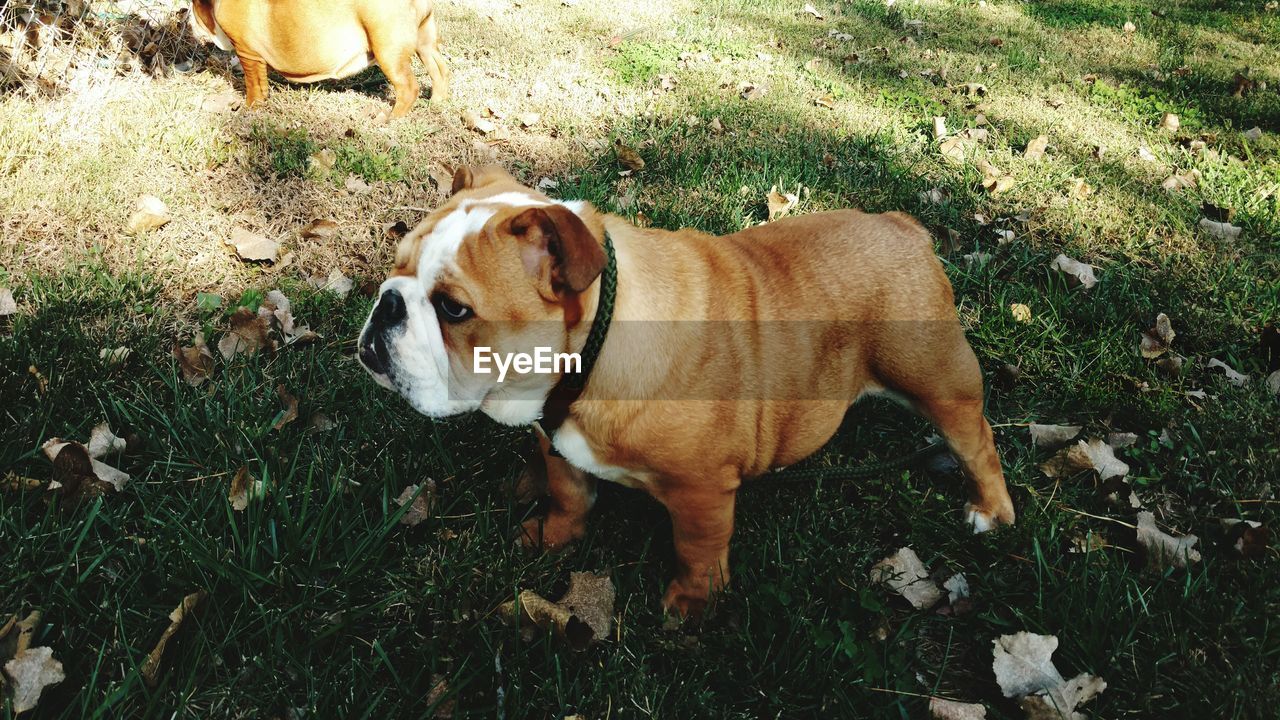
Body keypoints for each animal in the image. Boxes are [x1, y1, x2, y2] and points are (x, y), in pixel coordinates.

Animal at [189, 0, 450, 117]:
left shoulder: (247, 54)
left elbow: (254, 86)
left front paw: (251, 108)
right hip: (425, 43)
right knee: (439, 71)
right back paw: (436, 101)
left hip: (388, 50)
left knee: (408, 87)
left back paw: (389, 118)